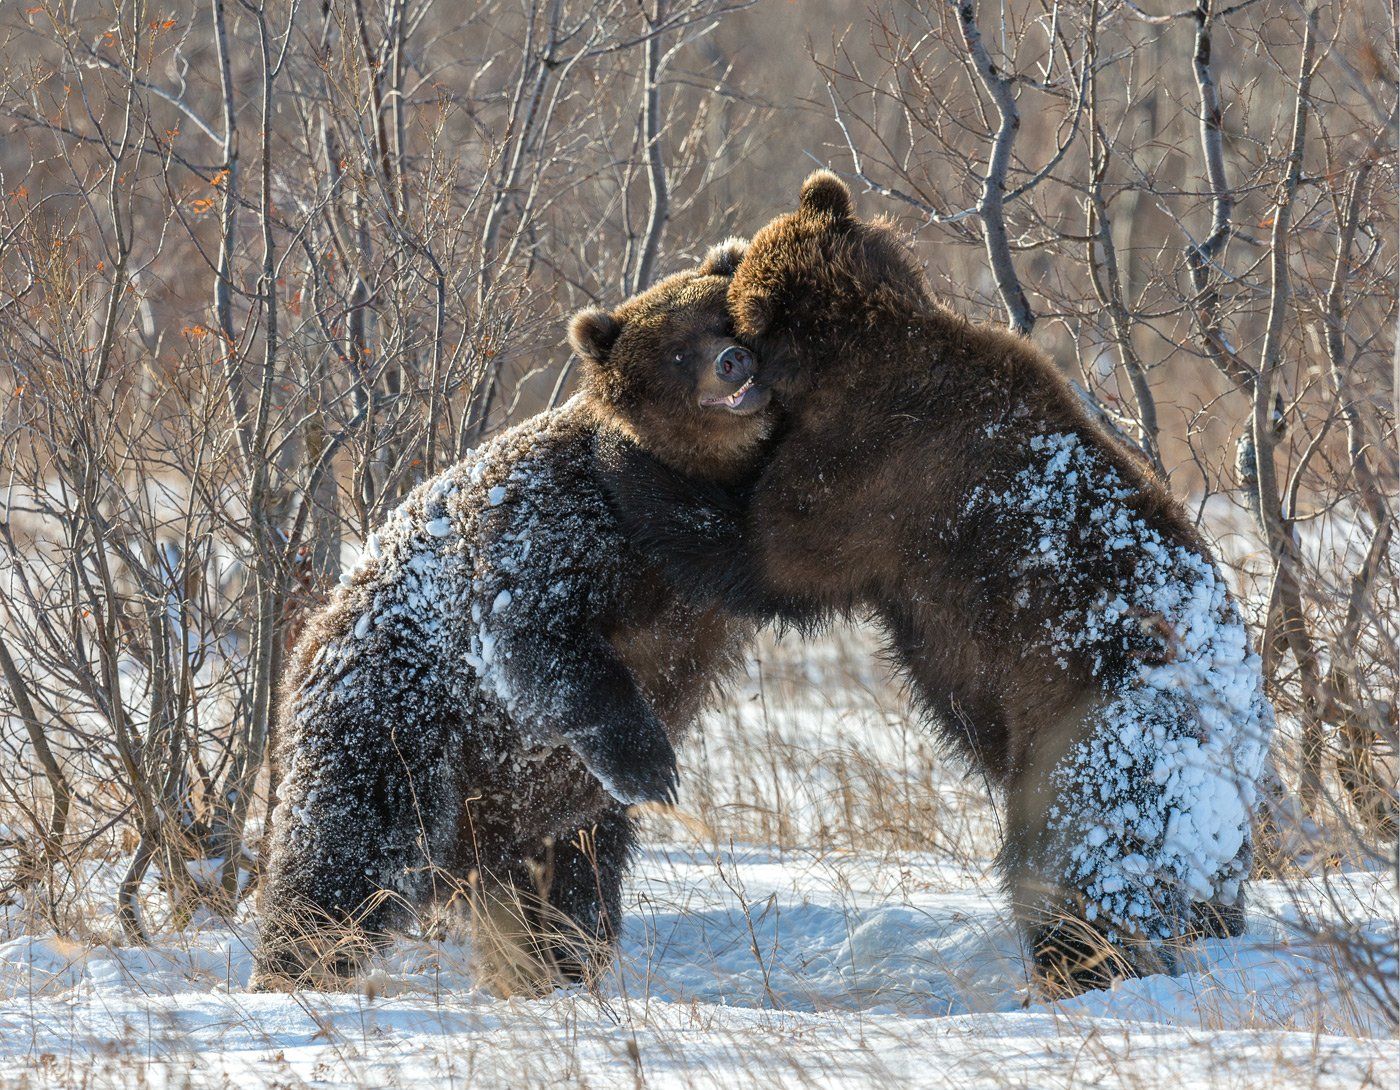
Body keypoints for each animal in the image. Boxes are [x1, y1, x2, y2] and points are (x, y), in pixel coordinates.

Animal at [254, 240, 778, 996]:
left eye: (725, 316)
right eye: (679, 348)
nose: (733, 360)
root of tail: (302, 653)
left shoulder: (705, 561)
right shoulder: (555, 529)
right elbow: (537, 638)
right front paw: (651, 765)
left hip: (534, 813)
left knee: (576, 880)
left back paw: (556, 964)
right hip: (397, 736)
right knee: (345, 859)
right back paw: (294, 970)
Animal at [607, 172, 1276, 996]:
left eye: (726, 307)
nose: (729, 357)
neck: (847, 356)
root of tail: (1240, 748)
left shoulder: (877, 469)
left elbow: (769, 551)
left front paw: (631, 463)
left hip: (1097, 734)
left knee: (1074, 862)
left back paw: (1077, 967)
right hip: (1196, 811)